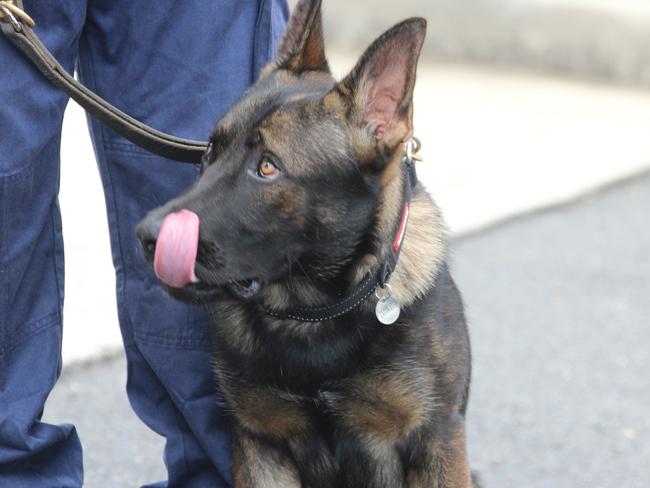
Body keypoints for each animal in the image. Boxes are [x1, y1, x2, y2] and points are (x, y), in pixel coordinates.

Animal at [135, 1, 476, 486]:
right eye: (209, 153)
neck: (314, 314)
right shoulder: (260, 445)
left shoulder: (435, 442)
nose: (147, 236)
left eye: (268, 167)